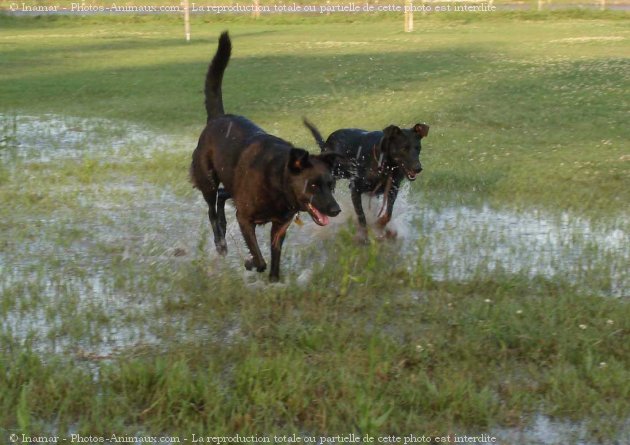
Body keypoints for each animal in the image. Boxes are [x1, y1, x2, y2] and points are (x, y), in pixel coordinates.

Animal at [191, 31, 344, 280]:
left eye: (331, 185)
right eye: (312, 186)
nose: (336, 210)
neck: (277, 180)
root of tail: (217, 118)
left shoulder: (280, 225)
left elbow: (274, 258)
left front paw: (274, 281)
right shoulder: (245, 219)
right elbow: (259, 258)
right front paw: (250, 263)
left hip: (231, 182)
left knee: (222, 197)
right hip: (207, 181)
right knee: (211, 209)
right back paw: (220, 242)